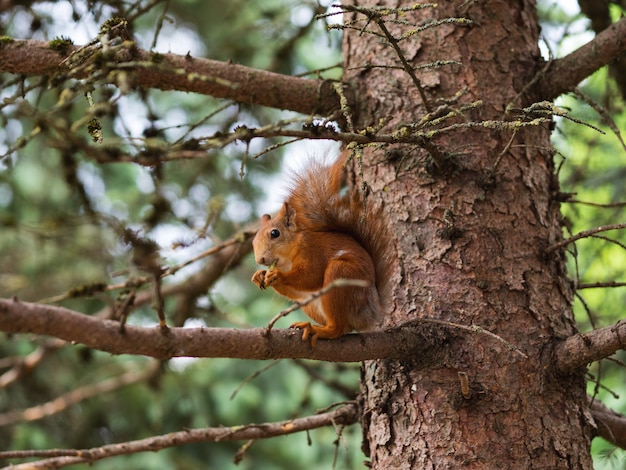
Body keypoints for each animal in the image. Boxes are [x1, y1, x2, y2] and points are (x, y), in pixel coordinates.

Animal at [250, 152, 390, 346]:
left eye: (275, 233)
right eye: (253, 241)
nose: (260, 260)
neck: (287, 259)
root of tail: (372, 313)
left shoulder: (313, 252)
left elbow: (311, 276)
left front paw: (278, 275)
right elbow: (294, 290)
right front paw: (259, 276)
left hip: (341, 276)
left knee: (338, 328)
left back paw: (318, 330)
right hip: (309, 304)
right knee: (344, 327)